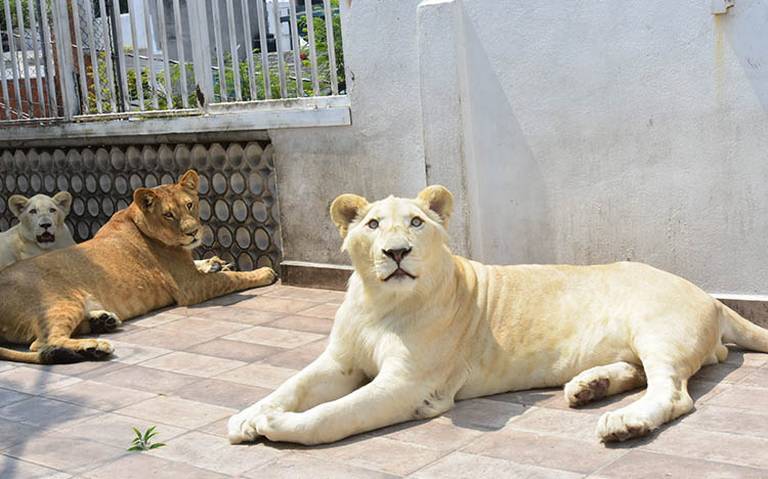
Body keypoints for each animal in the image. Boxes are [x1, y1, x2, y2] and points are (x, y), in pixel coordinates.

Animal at [0, 170, 276, 364]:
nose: (193, 232)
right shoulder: (191, 287)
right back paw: (95, 346)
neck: (137, 219)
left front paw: (217, 263)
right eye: (168, 214)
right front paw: (263, 272)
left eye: (189, 205)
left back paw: (104, 322)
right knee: (41, 343)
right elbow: (235, 279)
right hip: (60, 302)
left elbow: (210, 266)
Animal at [228, 185, 768, 446]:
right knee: (638, 375)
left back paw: (625, 423)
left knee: (672, 394)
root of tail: (713, 297)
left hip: (658, 332)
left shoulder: (408, 385)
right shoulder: (339, 363)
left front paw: (276, 426)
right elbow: (290, 385)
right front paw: (247, 417)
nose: (397, 252)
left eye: (416, 222)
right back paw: (588, 387)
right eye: (373, 225)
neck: (381, 303)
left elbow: (333, 415)